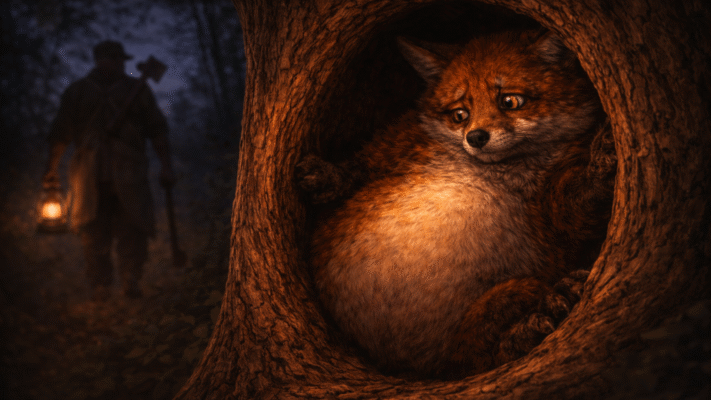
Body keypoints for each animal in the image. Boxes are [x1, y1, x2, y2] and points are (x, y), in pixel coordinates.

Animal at [297, 29, 616, 378]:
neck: (502, 171)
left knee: (482, 357)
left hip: (503, 301)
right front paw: (327, 177)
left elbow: (582, 201)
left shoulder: (557, 212)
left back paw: (536, 322)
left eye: (510, 101)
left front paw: (602, 161)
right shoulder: (400, 142)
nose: (476, 137)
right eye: (459, 114)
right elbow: (359, 166)